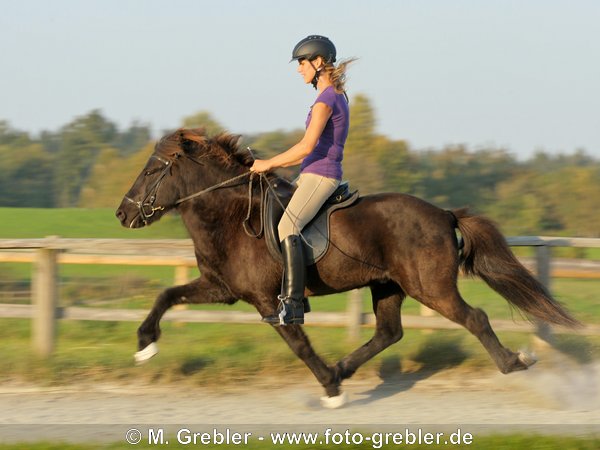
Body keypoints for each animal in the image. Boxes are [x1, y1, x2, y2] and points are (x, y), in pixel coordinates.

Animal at [117, 127, 580, 408]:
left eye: (152, 169)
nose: (123, 214)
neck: (231, 216)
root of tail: (444, 214)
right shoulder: (222, 288)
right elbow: (166, 296)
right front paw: (144, 345)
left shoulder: (268, 301)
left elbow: (299, 344)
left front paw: (330, 388)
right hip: (388, 286)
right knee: (389, 332)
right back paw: (344, 366)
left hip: (431, 288)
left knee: (475, 318)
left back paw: (515, 362)